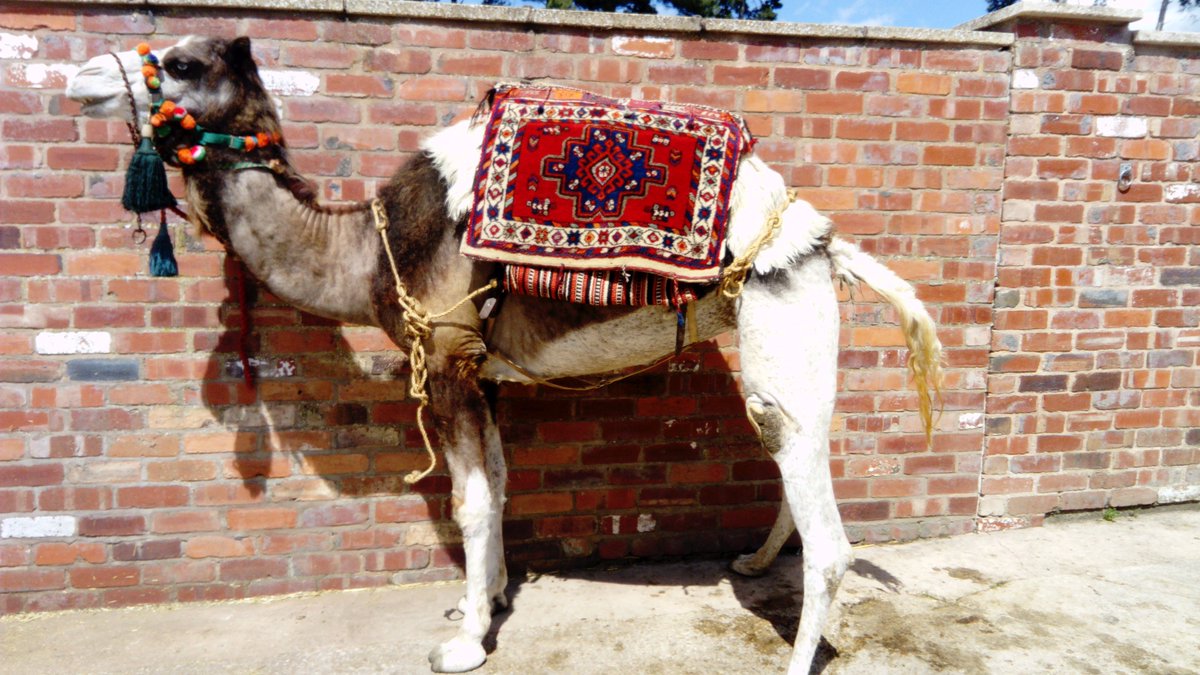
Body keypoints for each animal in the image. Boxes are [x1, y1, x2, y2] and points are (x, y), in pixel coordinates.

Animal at [66, 36, 942, 674]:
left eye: (184, 63)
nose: (81, 77)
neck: (366, 246)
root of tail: (824, 243)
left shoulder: (449, 353)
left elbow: (470, 501)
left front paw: (462, 643)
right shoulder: (482, 372)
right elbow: (499, 482)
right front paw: (476, 600)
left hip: (782, 320)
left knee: (829, 535)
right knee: (794, 457)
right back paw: (754, 562)